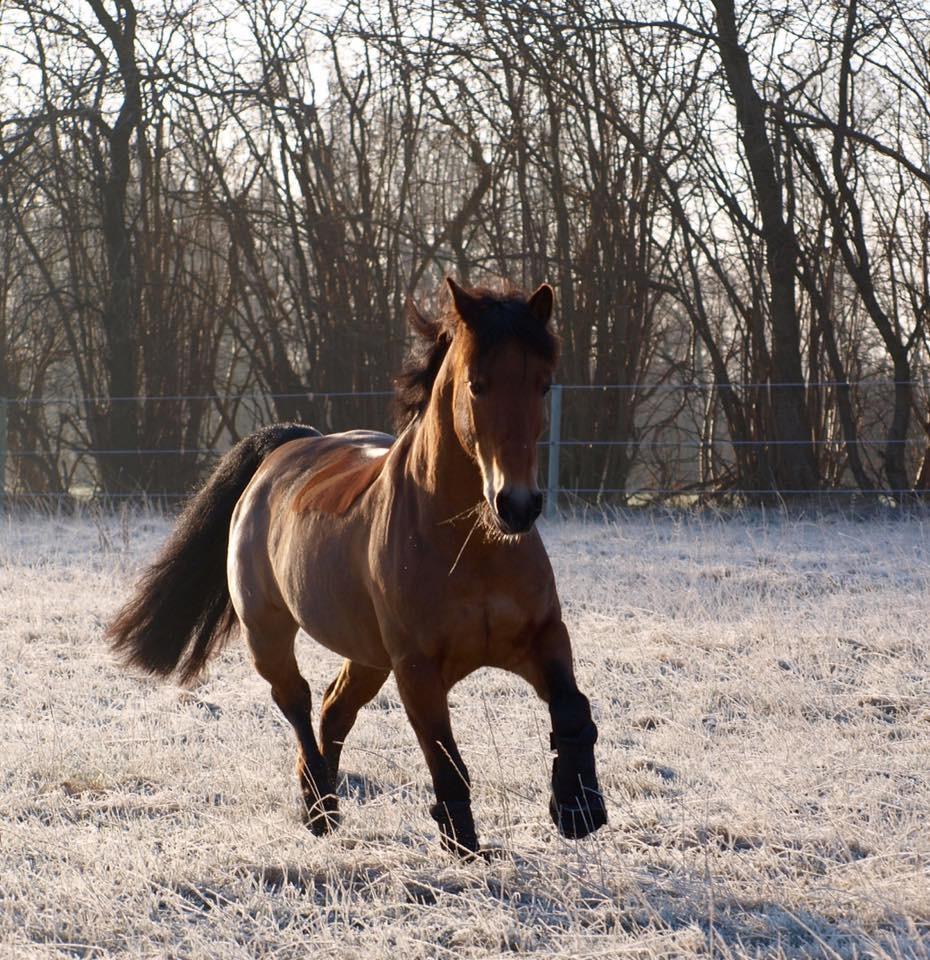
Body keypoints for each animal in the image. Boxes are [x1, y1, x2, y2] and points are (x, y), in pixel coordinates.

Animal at [107, 278, 608, 856]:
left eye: (543, 386)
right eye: (477, 384)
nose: (518, 504)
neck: (474, 544)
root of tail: (288, 447)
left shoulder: (542, 637)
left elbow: (572, 708)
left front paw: (578, 808)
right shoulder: (417, 669)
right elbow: (444, 755)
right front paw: (464, 843)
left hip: (367, 655)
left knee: (333, 710)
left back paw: (323, 798)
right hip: (269, 636)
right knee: (298, 704)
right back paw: (320, 807)